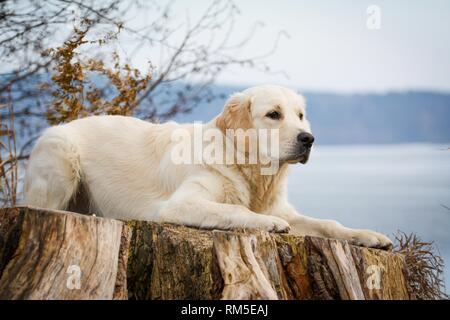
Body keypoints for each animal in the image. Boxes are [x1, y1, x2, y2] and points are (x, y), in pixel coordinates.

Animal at [22, 85, 392, 250]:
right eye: (273, 114)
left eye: (300, 115)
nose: (308, 139)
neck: (249, 170)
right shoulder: (180, 204)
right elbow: (235, 210)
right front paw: (267, 224)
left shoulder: (284, 208)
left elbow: (328, 223)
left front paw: (370, 236)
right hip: (63, 156)